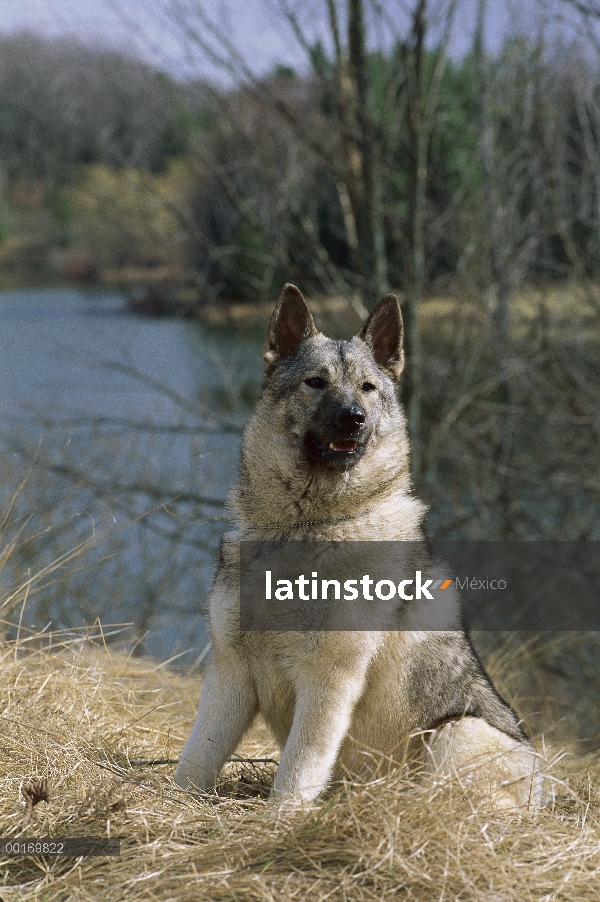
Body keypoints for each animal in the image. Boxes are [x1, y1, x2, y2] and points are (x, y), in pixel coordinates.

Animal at [175, 282, 544, 804]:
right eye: (315, 382)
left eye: (368, 388)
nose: (354, 418)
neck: (309, 527)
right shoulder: (229, 673)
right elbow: (195, 759)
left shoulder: (328, 681)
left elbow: (298, 769)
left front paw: (280, 817)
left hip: (457, 731)